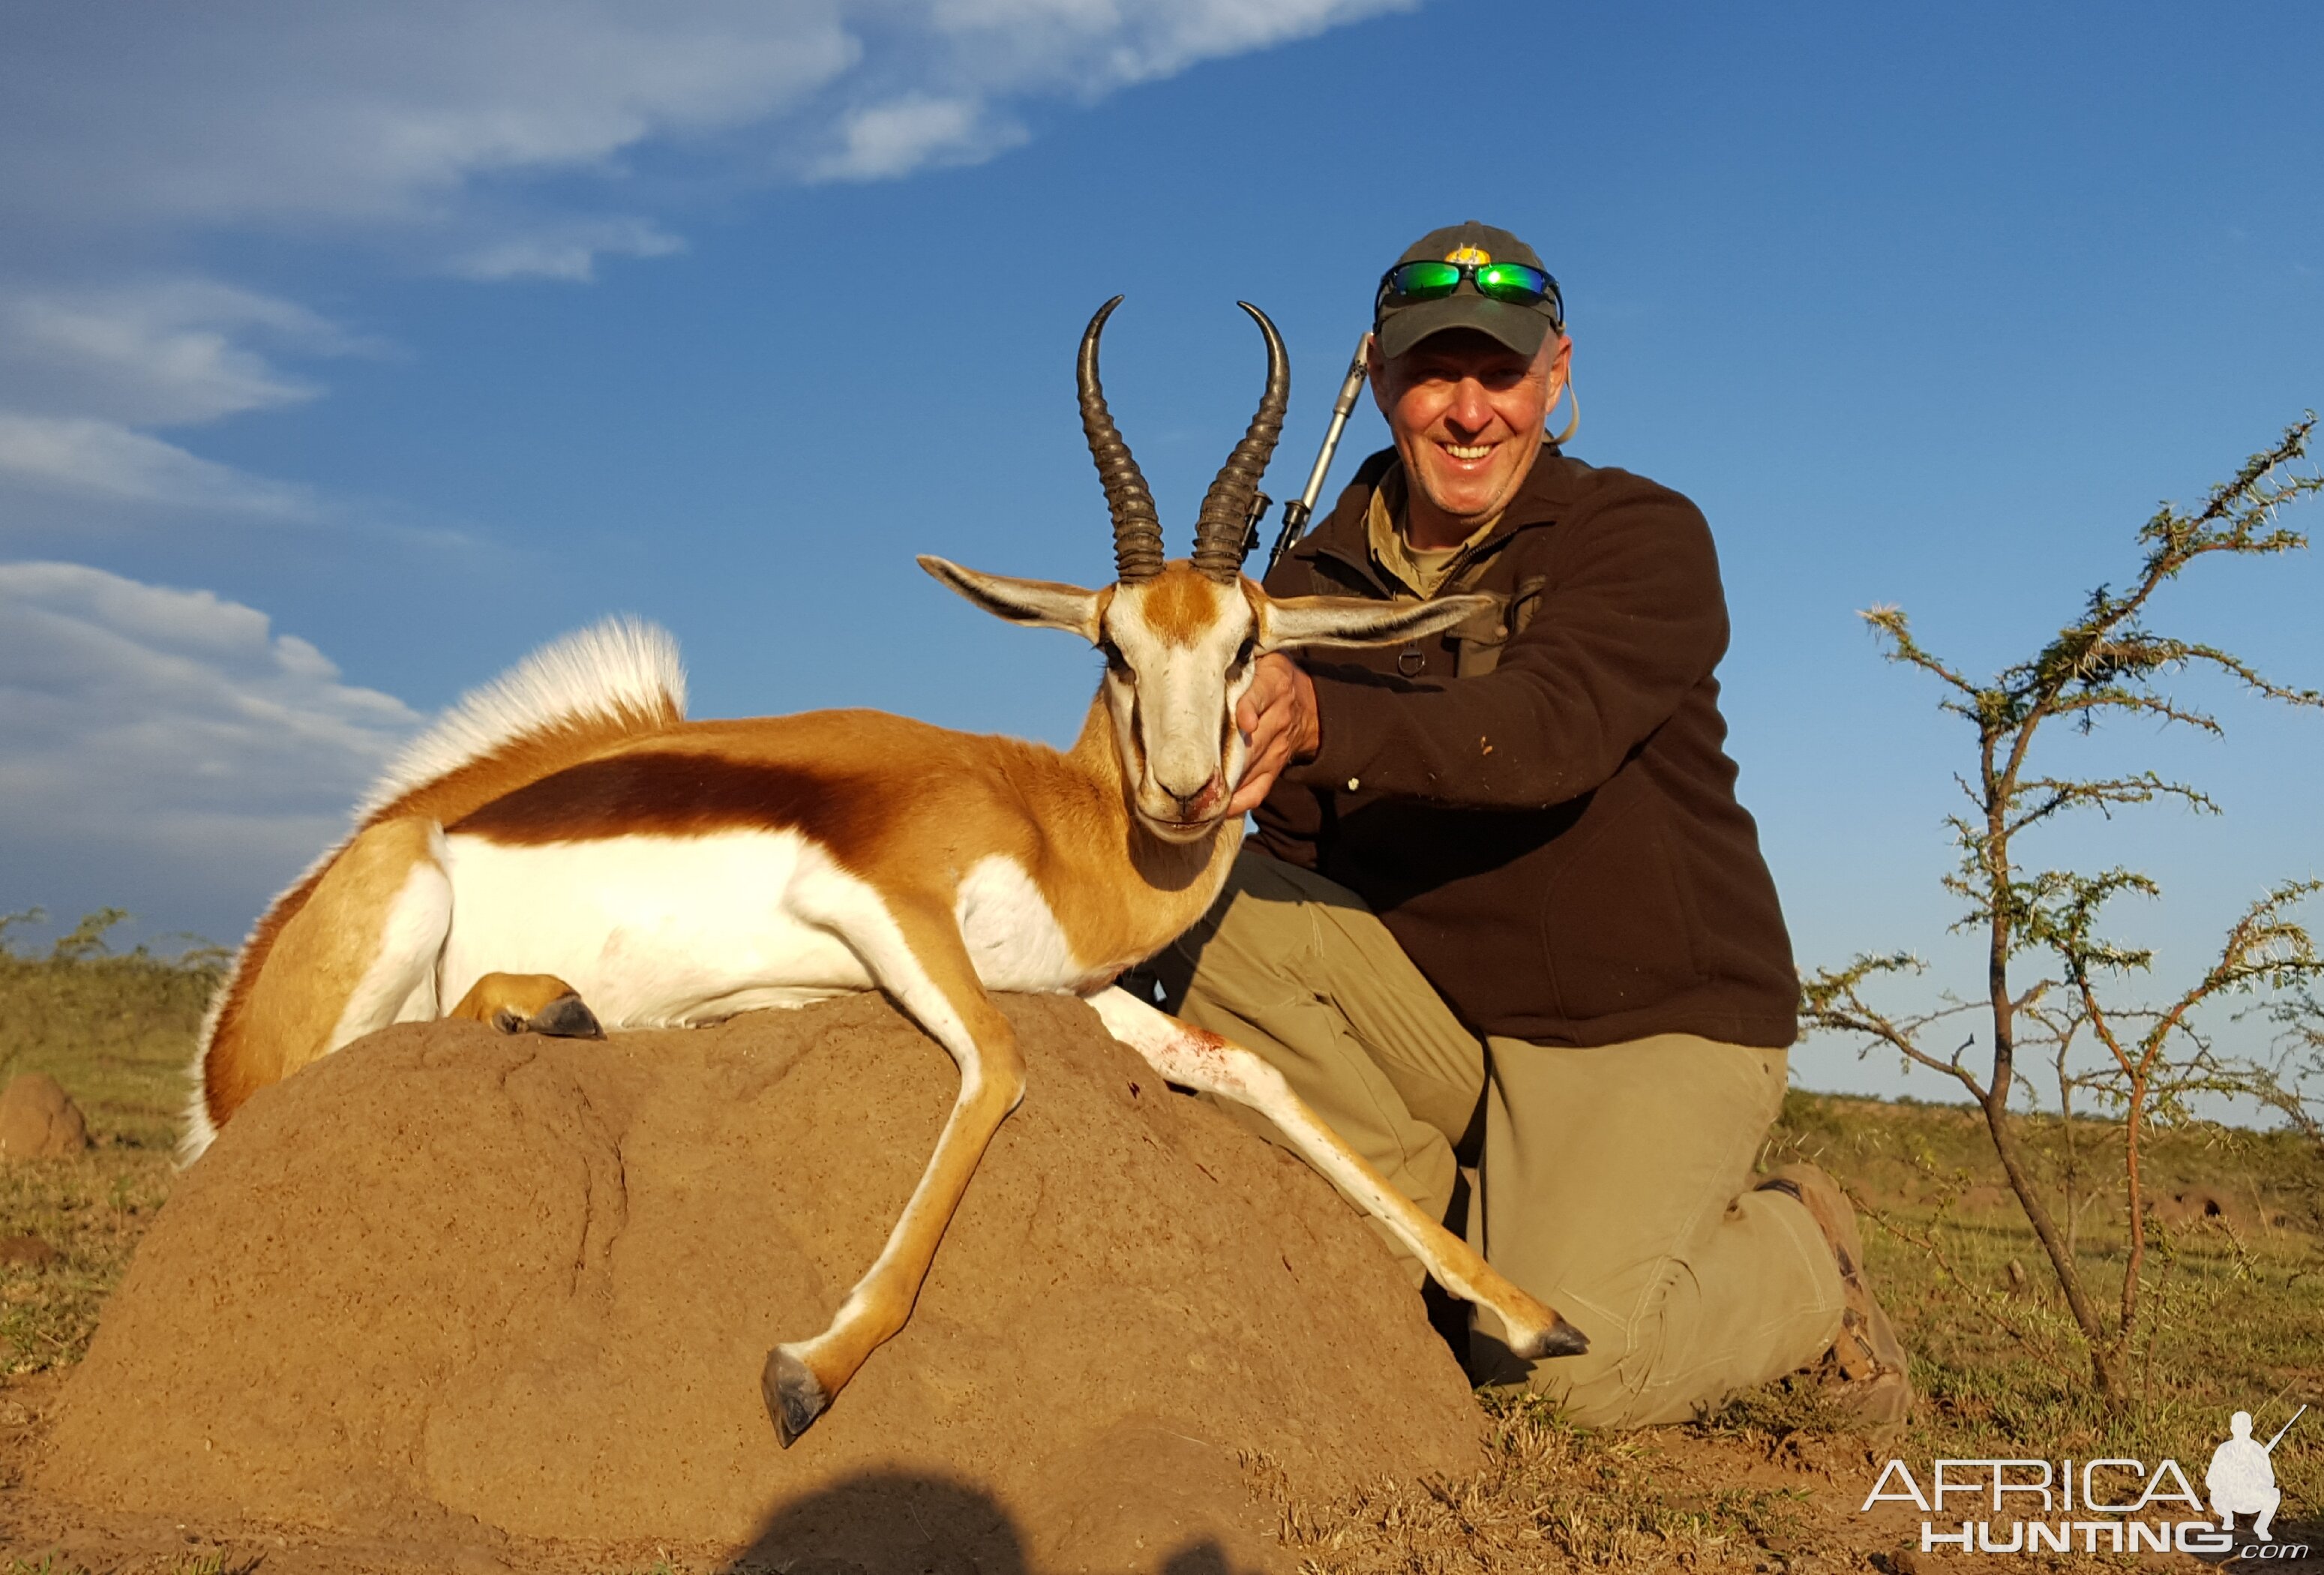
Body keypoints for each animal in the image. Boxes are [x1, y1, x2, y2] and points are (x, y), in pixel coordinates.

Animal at [190, 296, 1589, 1440]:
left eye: (1245, 648)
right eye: (1113, 648)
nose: (1186, 792)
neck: (1058, 821)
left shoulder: (1075, 990)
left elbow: (1247, 1070)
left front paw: (1533, 1314)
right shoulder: (887, 905)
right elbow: (1002, 1074)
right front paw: (810, 1368)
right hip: (398, 916)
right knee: (331, 1074)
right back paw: (557, 1011)